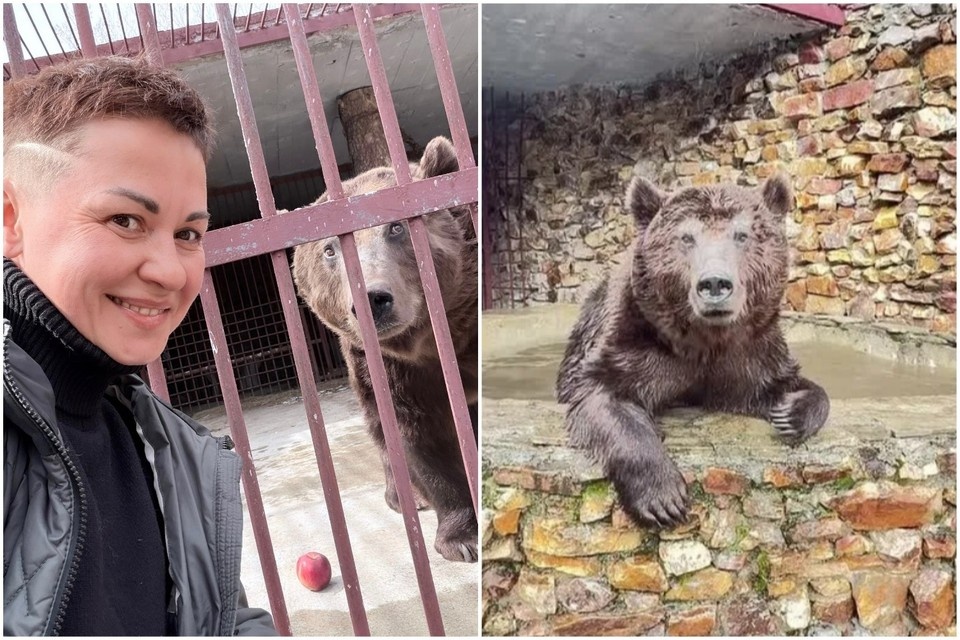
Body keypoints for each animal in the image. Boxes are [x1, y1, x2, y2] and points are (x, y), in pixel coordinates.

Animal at [292, 136, 478, 562]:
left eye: (396, 226)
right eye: (330, 249)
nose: (373, 299)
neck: (427, 342)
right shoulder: (386, 369)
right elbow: (415, 437)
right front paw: (462, 534)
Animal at [556, 173, 830, 529]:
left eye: (741, 234)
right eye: (686, 237)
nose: (714, 283)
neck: (703, 340)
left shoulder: (750, 353)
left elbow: (786, 384)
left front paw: (790, 412)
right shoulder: (633, 342)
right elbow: (604, 396)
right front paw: (663, 498)